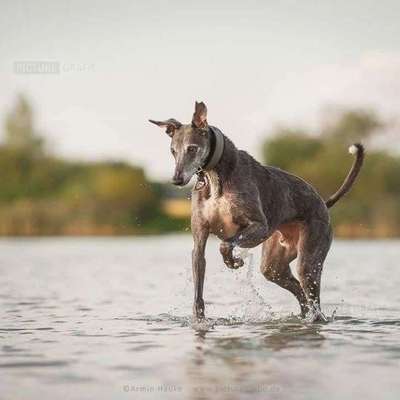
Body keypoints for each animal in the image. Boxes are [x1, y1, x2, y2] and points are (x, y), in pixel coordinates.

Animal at [148, 102, 364, 322]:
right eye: (173, 151)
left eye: (192, 148)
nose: (176, 180)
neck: (216, 176)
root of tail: (323, 202)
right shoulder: (199, 238)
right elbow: (198, 282)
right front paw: (199, 319)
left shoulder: (259, 226)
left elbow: (225, 244)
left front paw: (234, 261)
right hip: (273, 265)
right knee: (300, 295)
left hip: (309, 258)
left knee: (313, 299)